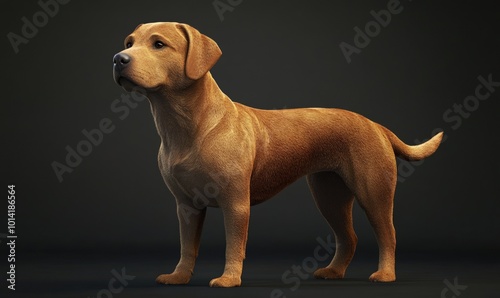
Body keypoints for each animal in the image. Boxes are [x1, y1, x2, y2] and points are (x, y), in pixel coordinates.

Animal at [112, 22, 442, 288]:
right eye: (129, 42)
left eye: (158, 44)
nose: (118, 59)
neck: (186, 126)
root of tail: (375, 124)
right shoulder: (186, 206)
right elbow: (187, 247)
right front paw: (179, 277)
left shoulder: (236, 204)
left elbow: (234, 245)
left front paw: (229, 279)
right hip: (329, 195)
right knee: (349, 237)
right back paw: (333, 272)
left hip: (373, 193)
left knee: (388, 234)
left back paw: (385, 275)